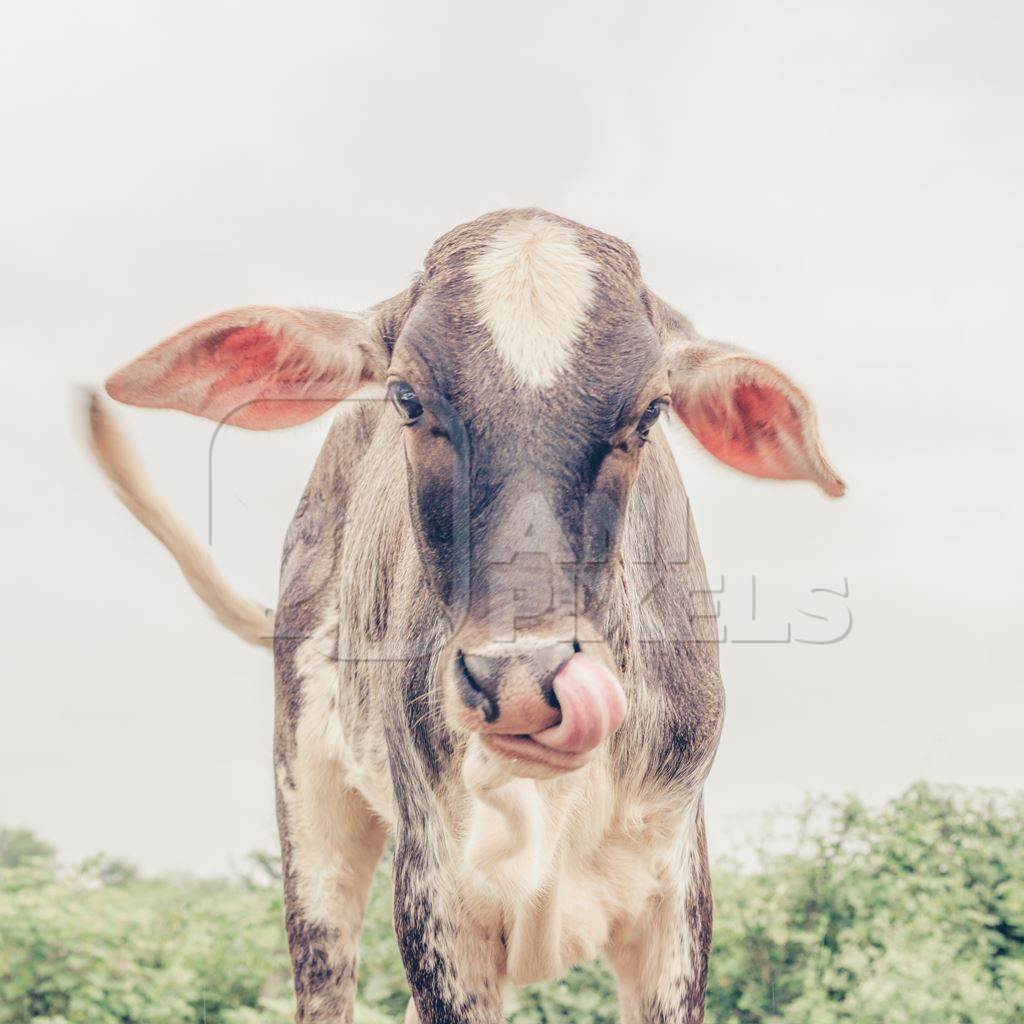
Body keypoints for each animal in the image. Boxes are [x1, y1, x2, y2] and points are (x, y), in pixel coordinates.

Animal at [86, 209, 839, 1024]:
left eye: (651, 412)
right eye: (408, 398)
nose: (523, 683)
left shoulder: (676, 900)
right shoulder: (435, 907)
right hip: (311, 815)